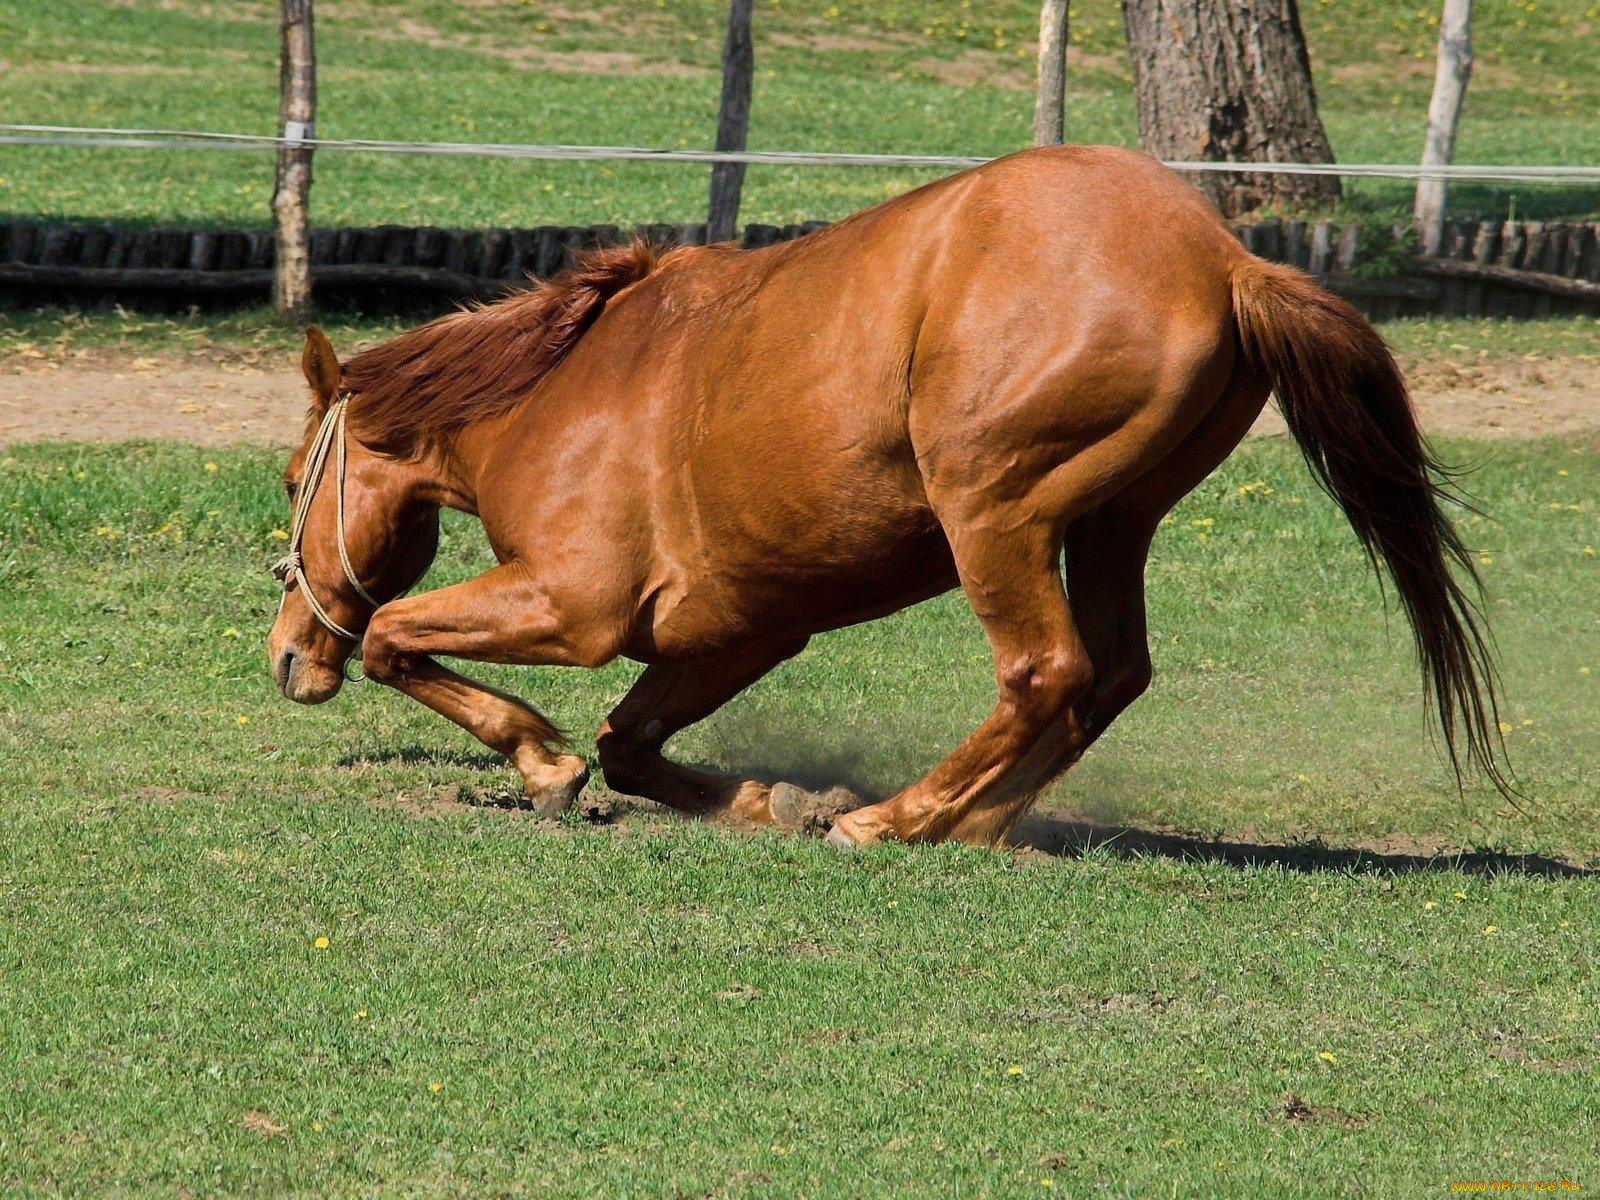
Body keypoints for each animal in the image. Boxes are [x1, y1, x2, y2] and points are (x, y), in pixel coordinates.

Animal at [262, 148, 1497, 844]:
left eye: (288, 481)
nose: (284, 659)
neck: (556, 389)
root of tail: (1223, 260)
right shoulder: (743, 630)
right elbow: (628, 742)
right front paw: (759, 802)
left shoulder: (574, 607)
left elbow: (397, 639)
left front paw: (538, 762)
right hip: (1112, 523)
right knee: (1108, 678)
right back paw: (972, 823)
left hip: (995, 518)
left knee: (1045, 673)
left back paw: (895, 820)